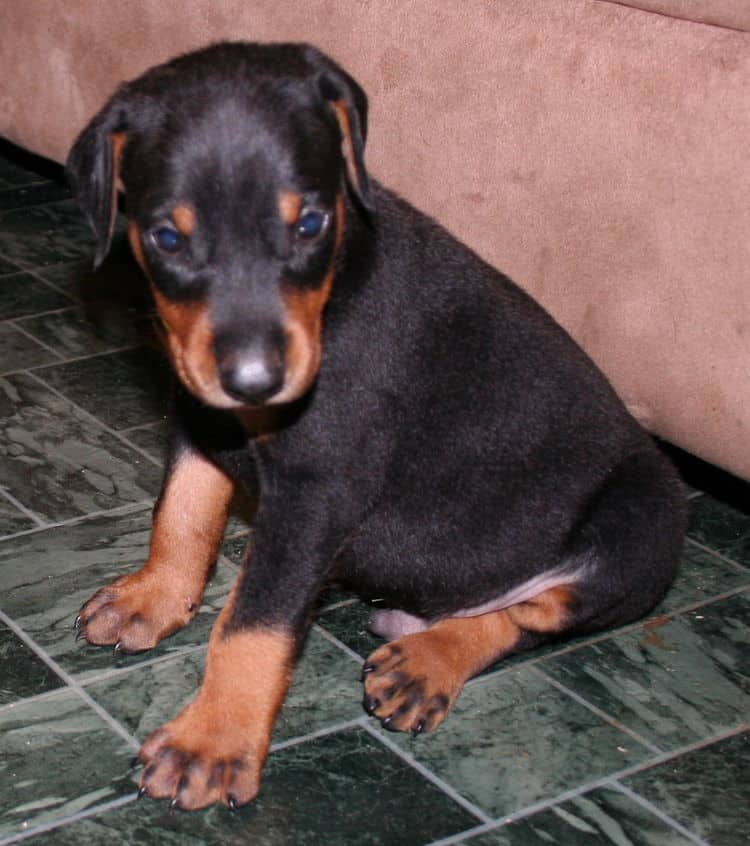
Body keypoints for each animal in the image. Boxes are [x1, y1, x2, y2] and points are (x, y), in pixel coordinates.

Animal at [66, 43, 688, 812]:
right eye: (166, 237)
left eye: (309, 224)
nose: (254, 381)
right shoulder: (201, 414)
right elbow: (181, 513)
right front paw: (152, 597)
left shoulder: (316, 490)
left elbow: (255, 618)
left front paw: (210, 742)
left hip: (643, 526)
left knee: (527, 615)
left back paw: (426, 662)